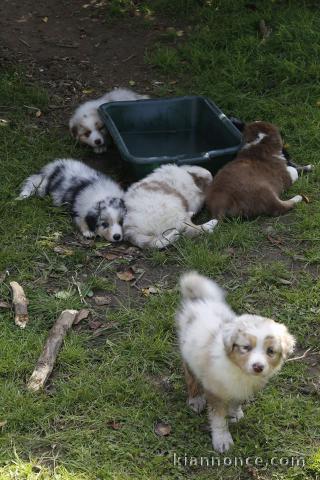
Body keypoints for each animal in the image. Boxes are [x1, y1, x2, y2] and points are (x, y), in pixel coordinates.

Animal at [176, 272, 296, 452]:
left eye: (270, 351)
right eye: (246, 347)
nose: (258, 367)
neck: (239, 371)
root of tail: (202, 301)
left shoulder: (242, 389)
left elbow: (236, 401)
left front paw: (235, 413)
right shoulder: (215, 392)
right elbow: (219, 420)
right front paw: (222, 440)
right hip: (188, 353)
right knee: (190, 375)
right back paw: (196, 399)